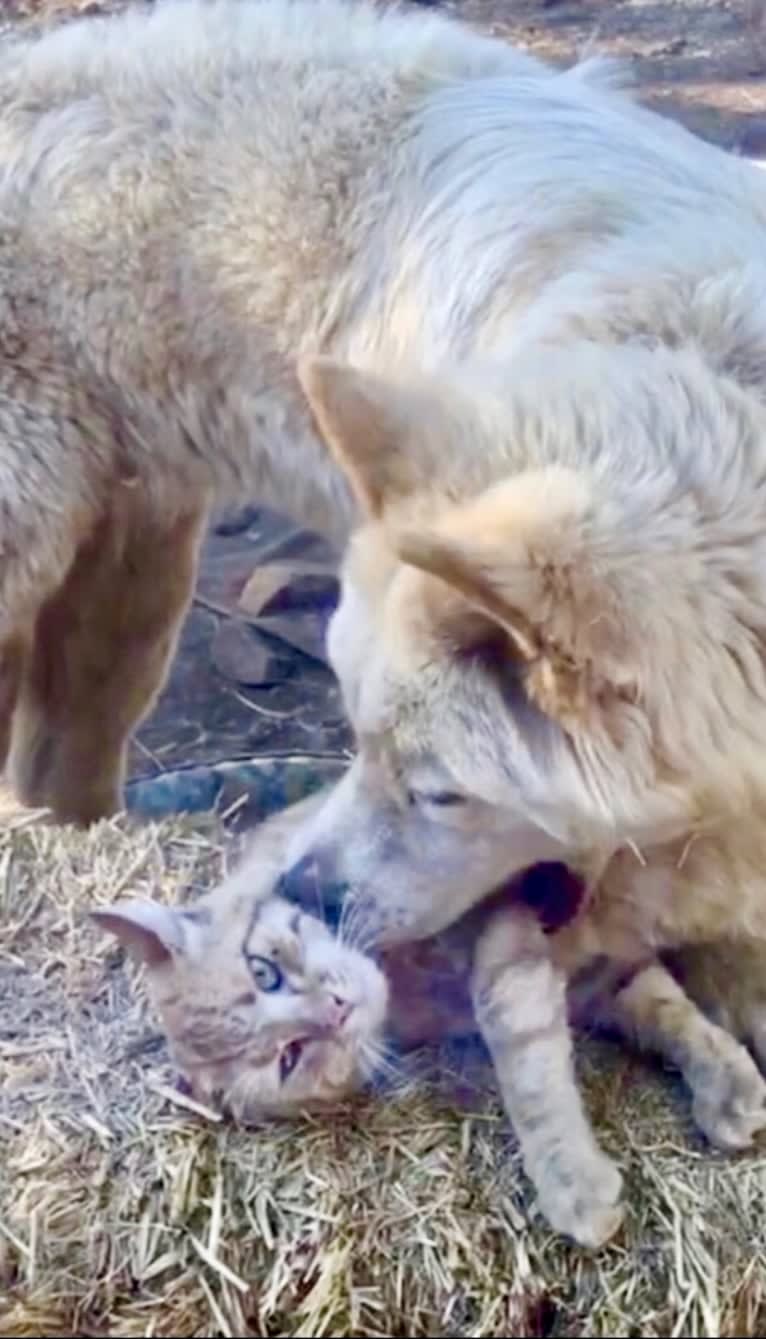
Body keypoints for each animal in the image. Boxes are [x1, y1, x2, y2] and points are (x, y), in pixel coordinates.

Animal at [93, 792, 766, 1242]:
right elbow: (656, 1004)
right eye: (290, 1058)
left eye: (263, 972)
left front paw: (573, 1179)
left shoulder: (514, 934)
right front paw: (726, 1081)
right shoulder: (585, 965)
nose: (336, 1010)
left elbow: (533, 1059)